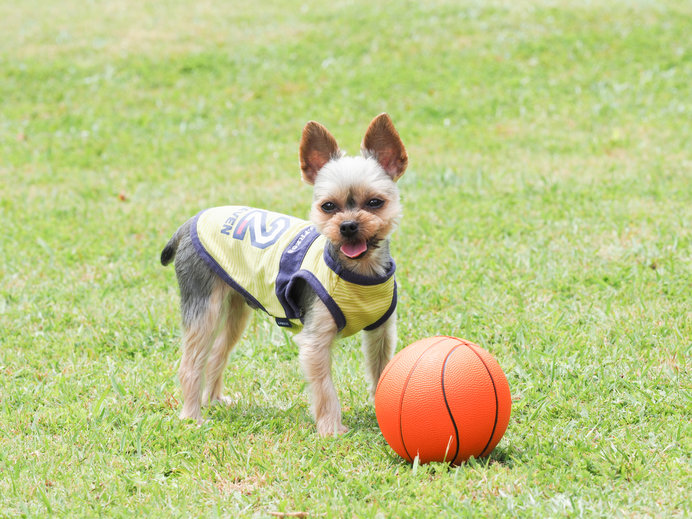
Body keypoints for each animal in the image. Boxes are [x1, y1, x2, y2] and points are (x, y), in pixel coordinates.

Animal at [161, 112, 410, 434]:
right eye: (328, 206)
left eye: (375, 203)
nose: (348, 226)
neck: (358, 273)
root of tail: (189, 221)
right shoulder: (315, 341)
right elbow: (325, 389)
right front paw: (331, 430)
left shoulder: (381, 332)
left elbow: (381, 372)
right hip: (205, 306)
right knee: (190, 364)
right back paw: (192, 417)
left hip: (237, 308)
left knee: (217, 352)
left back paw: (215, 401)